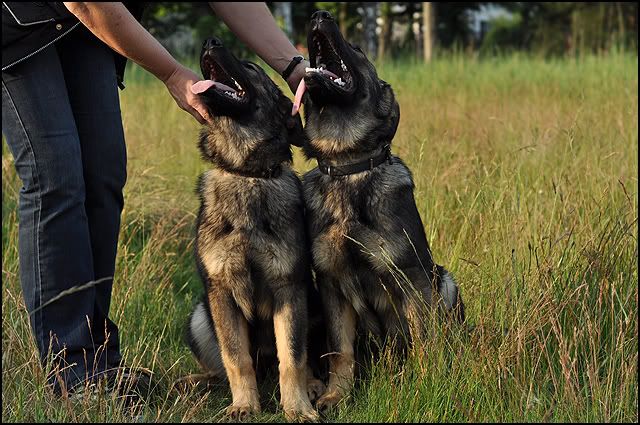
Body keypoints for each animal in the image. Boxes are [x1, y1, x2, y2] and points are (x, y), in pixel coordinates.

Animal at [184, 37, 322, 422]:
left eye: (249, 66)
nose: (210, 41)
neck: (246, 174)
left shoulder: (289, 290)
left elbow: (292, 357)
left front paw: (297, 407)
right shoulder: (221, 293)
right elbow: (236, 358)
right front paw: (244, 405)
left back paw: (314, 384)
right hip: (200, 317)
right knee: (222, 366)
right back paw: (199, 380)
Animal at [294, 11, 466, 410]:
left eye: (356, 47)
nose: (319, 14)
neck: (348, 164)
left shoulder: (413, 278)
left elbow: (424, 342)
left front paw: (426, 387)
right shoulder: (332, 285)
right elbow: (341, 350)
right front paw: (336, 394)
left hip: (445, 281)